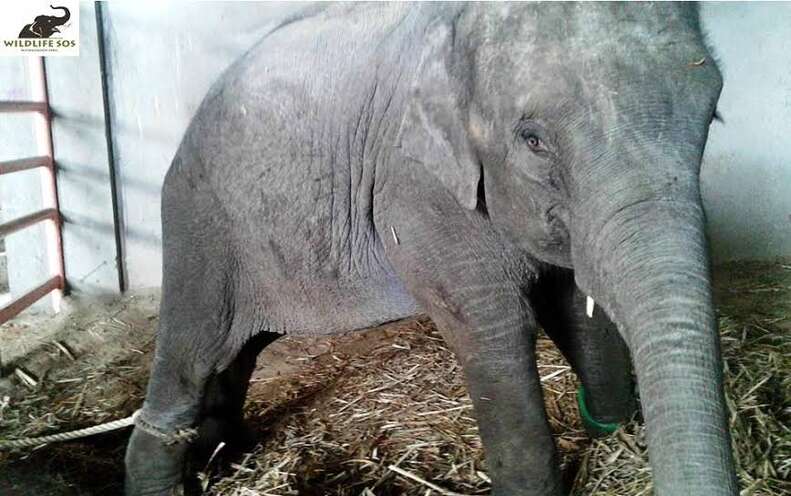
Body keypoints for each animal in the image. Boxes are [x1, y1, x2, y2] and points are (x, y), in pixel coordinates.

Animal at [124, 3, 736, 496]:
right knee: (195, 349)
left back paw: (223, 453)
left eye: (712, 115)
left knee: (235, 356)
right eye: (533, 140)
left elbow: (572, 304)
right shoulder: (415, 187)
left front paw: (614, 431)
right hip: (201, 222)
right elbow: (495, 330)